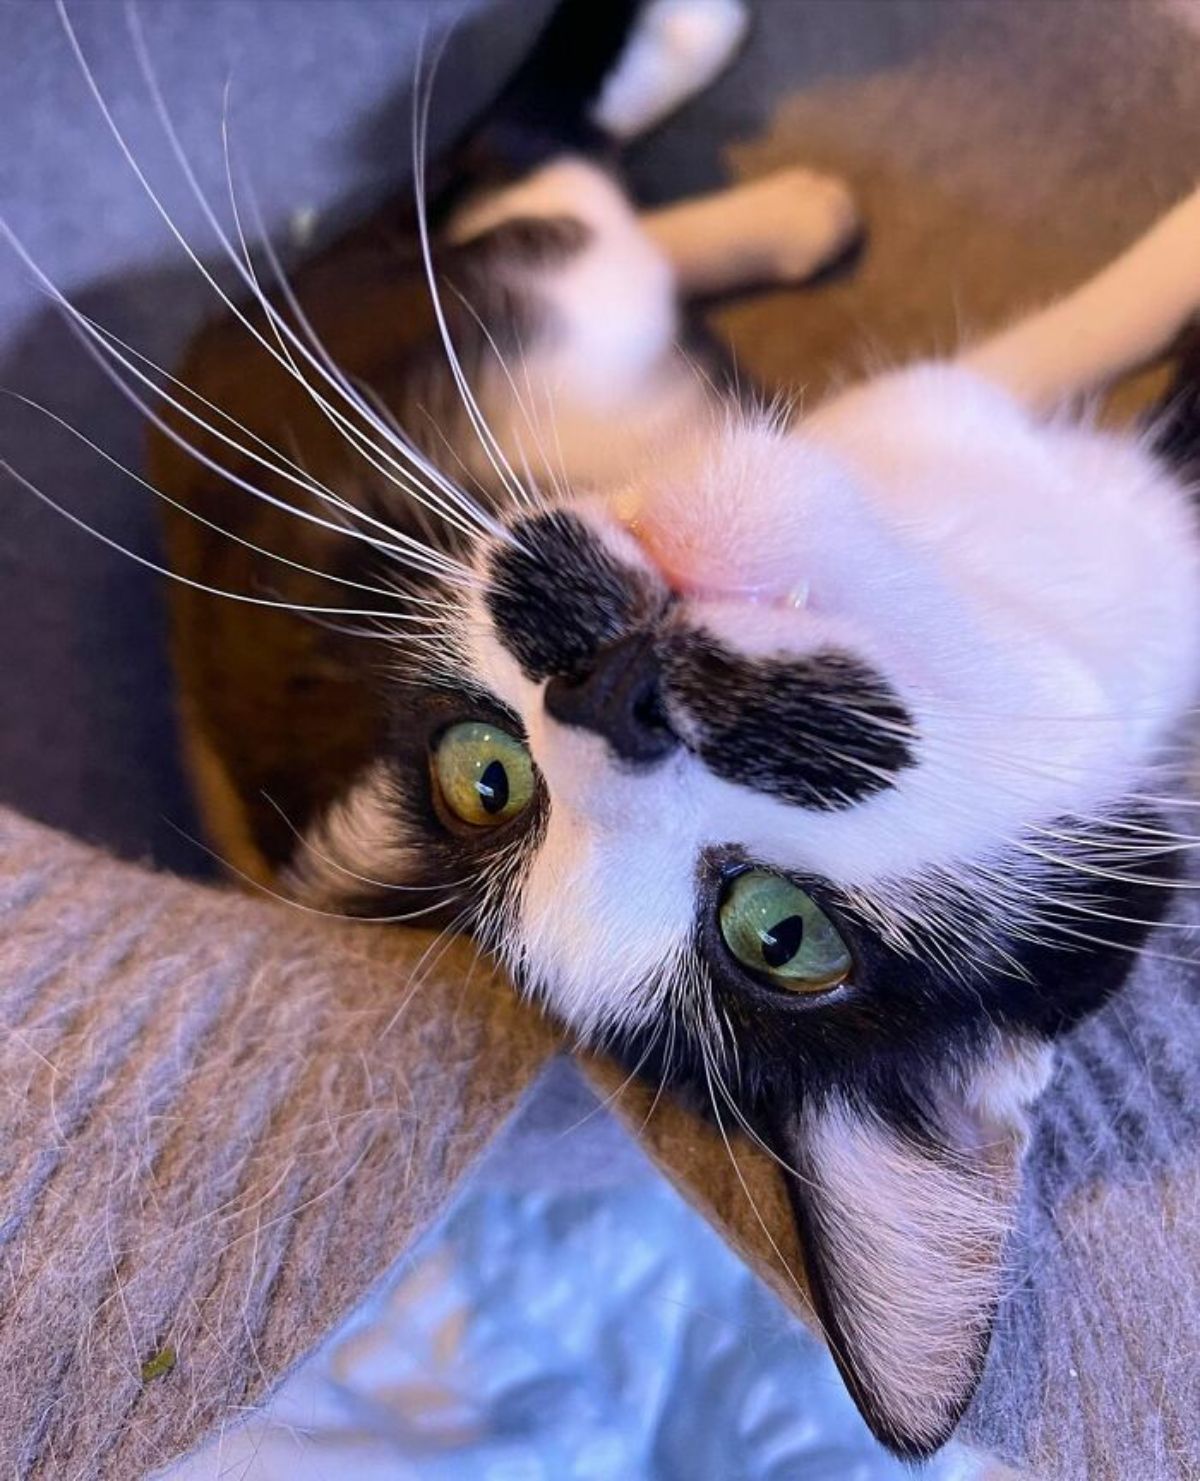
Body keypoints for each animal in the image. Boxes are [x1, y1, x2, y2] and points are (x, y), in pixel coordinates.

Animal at [102, 0, 1197, 1457]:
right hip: (548, 283)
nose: (593, 691)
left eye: (780, 933)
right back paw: (711, 101)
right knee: (522, 173)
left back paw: (782, 214)